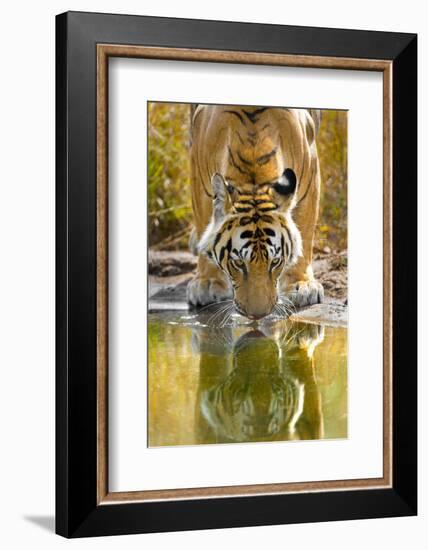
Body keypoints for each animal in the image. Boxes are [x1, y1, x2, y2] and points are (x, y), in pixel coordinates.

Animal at [187, 104, 324, 322]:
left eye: (275, 262)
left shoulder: (310, 169)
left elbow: (305, 229)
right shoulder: (199, 177)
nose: (258, 315)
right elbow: (203, 222)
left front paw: (301, 285)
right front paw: (207, 283)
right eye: (237, 263)